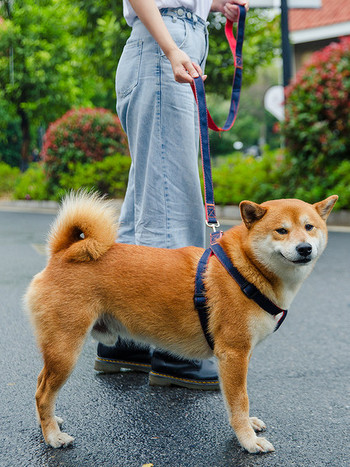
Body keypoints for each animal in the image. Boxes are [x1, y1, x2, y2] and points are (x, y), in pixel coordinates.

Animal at [23, 190, 336, 454]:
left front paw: (249, 425)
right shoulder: (234, 354)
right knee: (43, 393)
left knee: (41, 387)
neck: (246, 267)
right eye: (281, 230)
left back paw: (50, 421)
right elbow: (240, 402)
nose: (305, 248)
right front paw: (248, 440)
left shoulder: (236, 359)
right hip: (65, 350)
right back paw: (52, 436)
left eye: (310, 227)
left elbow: (237, 402)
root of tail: (63, 253)